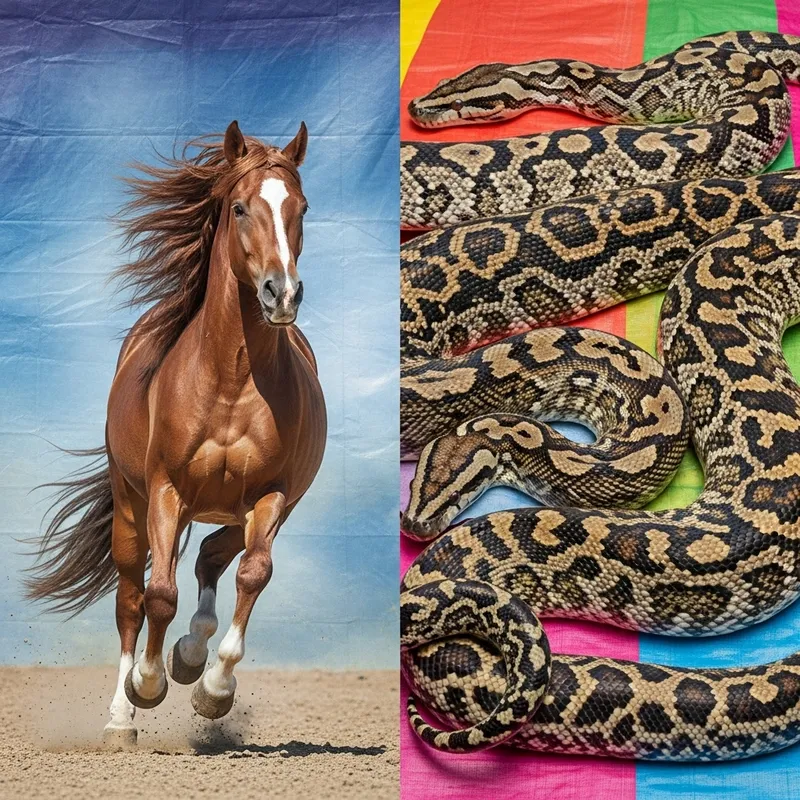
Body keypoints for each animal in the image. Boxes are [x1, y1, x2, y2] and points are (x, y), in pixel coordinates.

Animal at [25, 120, 327, 747]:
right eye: (239, 207)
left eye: (302, 208)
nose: (281, 294)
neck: (230, 381)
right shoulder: (166, 491)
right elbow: (158, 597)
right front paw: (146, 685)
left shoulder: (271, 497)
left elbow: (253, 574)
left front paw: (213, 689)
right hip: (130, 506)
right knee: (131, 600)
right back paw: (121, 717)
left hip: (244, 511)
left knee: (213, 559)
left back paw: (190, 656)